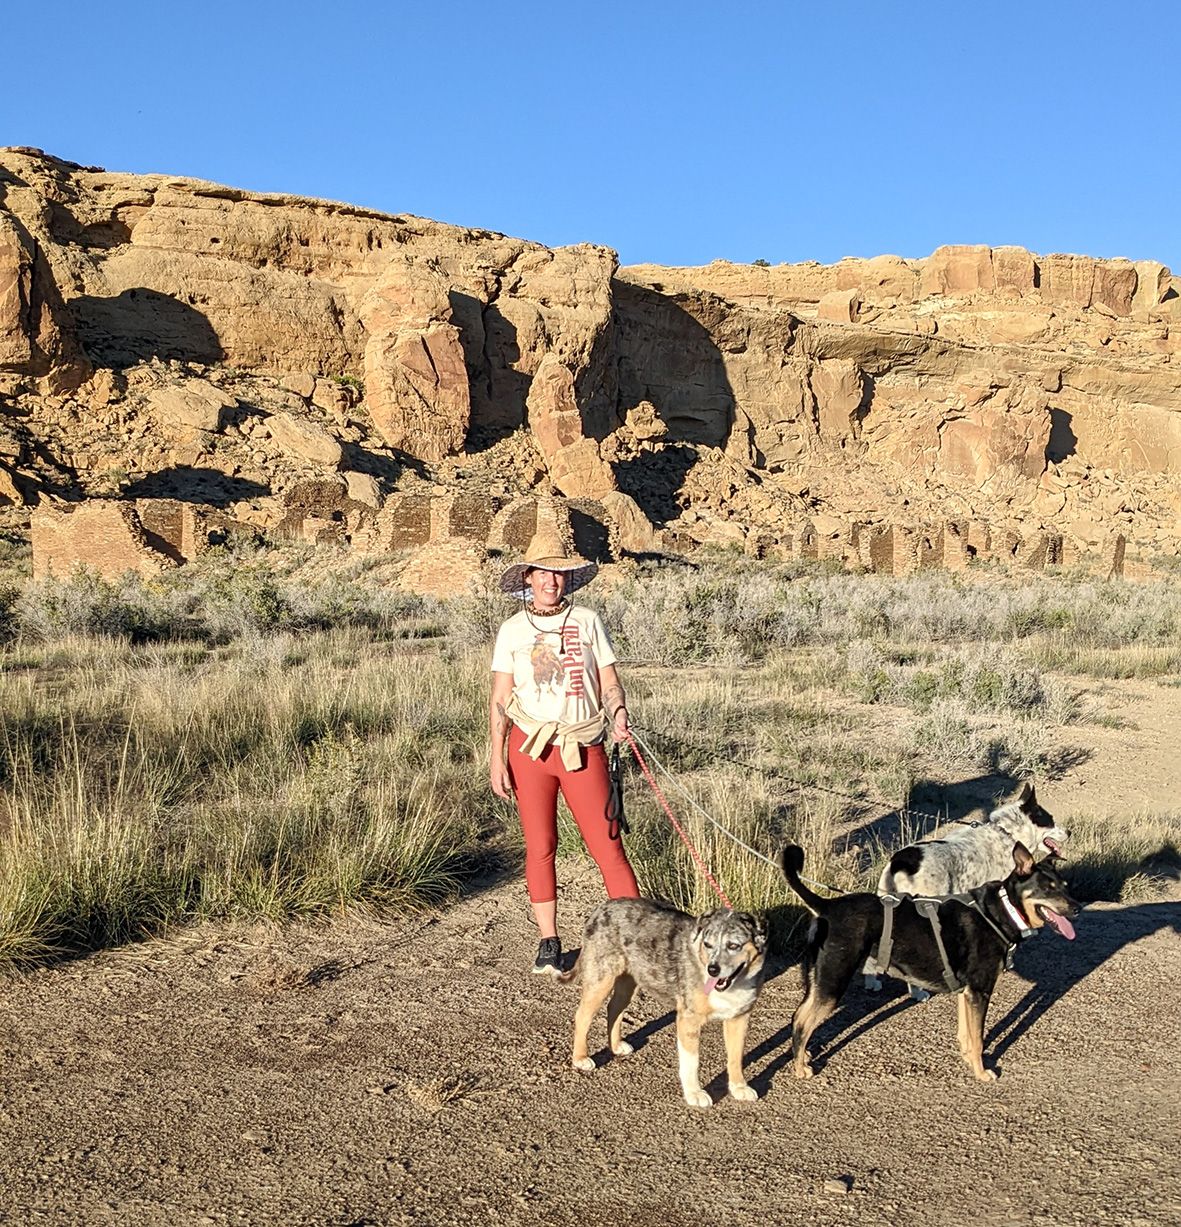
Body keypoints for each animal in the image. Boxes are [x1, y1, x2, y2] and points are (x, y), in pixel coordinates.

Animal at [561, 898, 765, 1109]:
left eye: (733, 945)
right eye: (708, 944)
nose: (713, 970)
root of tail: (601, 907)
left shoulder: (739, 1019)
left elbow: (736, 1057)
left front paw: (739, 1087)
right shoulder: (688, 1020)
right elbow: (692, 1062)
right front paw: (694, 1093)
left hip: (629, 981)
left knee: (614, 1008)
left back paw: (616, 1046)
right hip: (602, 980)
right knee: (583, 1016)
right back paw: (580, 1058)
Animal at [784, 839, 1079, 1079]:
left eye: (1065, 886)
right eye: (1047, 889)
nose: (1076, 908)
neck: (1001, 912)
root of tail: (827, 906)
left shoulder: (966, 992)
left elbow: (967, 1035)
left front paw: (968, 1060)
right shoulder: (980, 991)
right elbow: (979, 1038)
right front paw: (982, 1073)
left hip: (819, 980)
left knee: (798, 1015)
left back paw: (803, 1054)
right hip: (833, 982)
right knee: (802, 1021)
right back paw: (800, 1068)